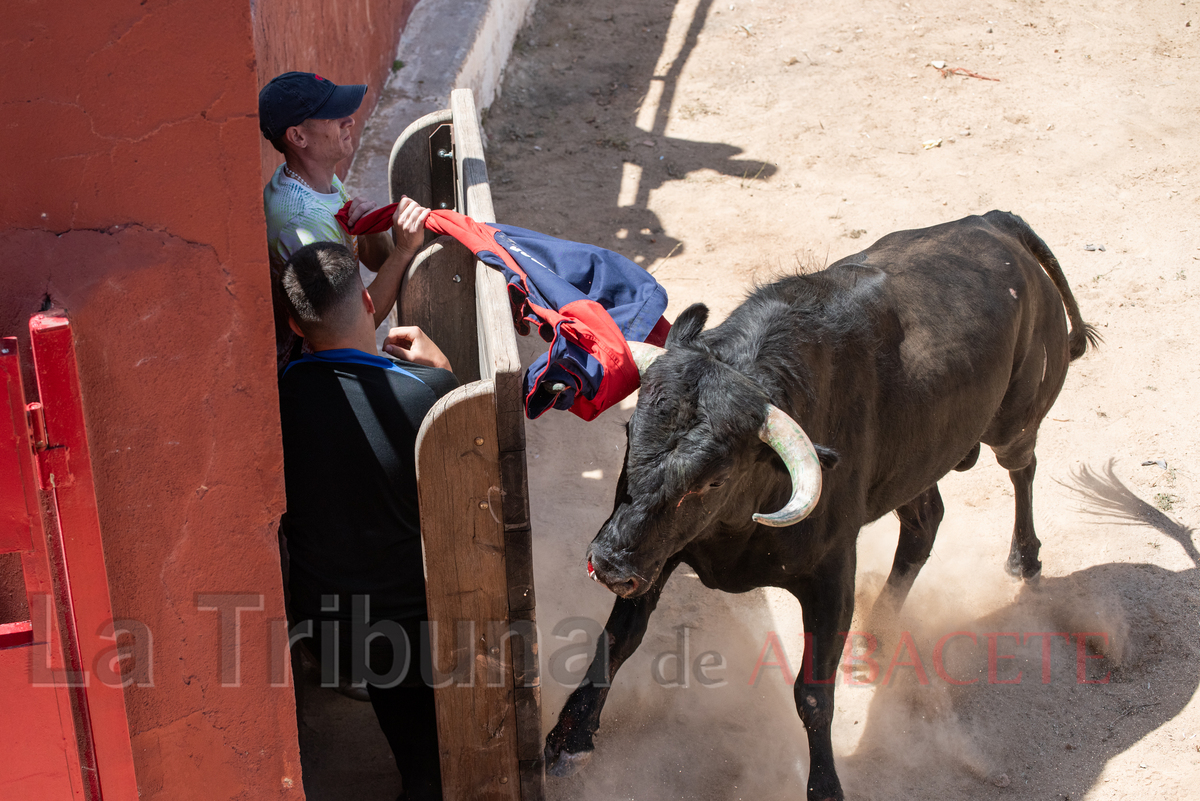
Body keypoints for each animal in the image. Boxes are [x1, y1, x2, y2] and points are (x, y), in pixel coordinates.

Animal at [544, 212, 1099, 801]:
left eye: (713, 480)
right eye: (630, 433)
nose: (608, 563)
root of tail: (995, 222)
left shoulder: (830, 575)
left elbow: (813, 694)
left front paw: (827, 785)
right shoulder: (661, 551)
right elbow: (618, 637)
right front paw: (568, 737)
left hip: (1014, 419)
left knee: (1022, 466)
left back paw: (1024, 559)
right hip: (916, 461)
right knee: (924, 523)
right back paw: (876, 637)